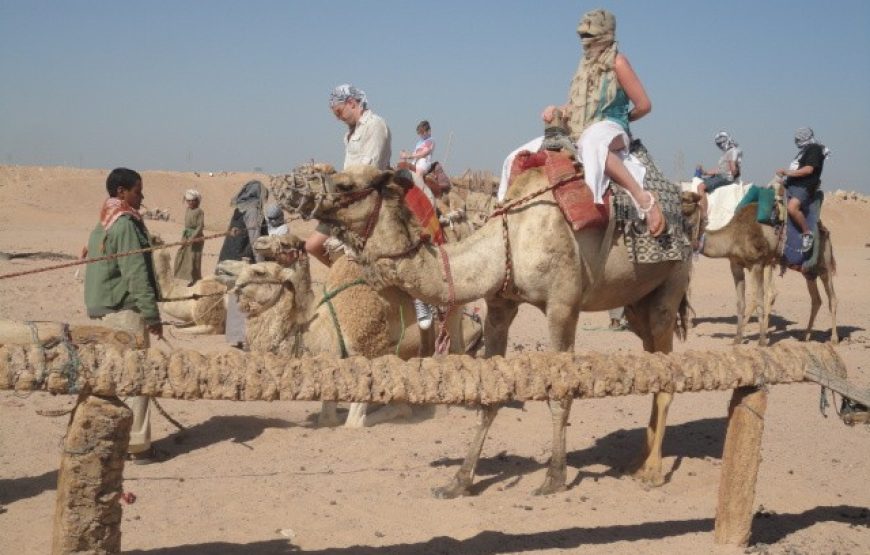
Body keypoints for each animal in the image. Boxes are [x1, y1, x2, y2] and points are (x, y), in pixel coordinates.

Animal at [235, 232, 488, 428]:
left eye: (260, 272)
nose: (259, 241)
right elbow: (328, 418)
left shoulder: (369, 351)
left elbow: (355, 422)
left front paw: (399, 409)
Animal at [276, 163, 700, 498]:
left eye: (345, 183)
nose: (290, 188)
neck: (509, 240)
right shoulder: (499, 306)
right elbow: (489, 394)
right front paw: (459, 482)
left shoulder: (562, 307)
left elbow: (560, 392)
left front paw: (554, 477)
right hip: (635, 303)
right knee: (652, 362)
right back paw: (636, 460)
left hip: (671, 284)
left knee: (667, 370)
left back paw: (652, 472)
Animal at [696, 201, 836, 344]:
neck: (734, 235)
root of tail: (824, 230)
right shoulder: (736, 264)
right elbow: (742, 302)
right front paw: (738, 338)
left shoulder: (757, 264)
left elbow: (757, 299)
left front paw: (760, 338)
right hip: (808, 271)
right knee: (816, 299)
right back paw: (805, 337)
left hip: (825, 265)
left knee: (832, 298)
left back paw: (834, 339)